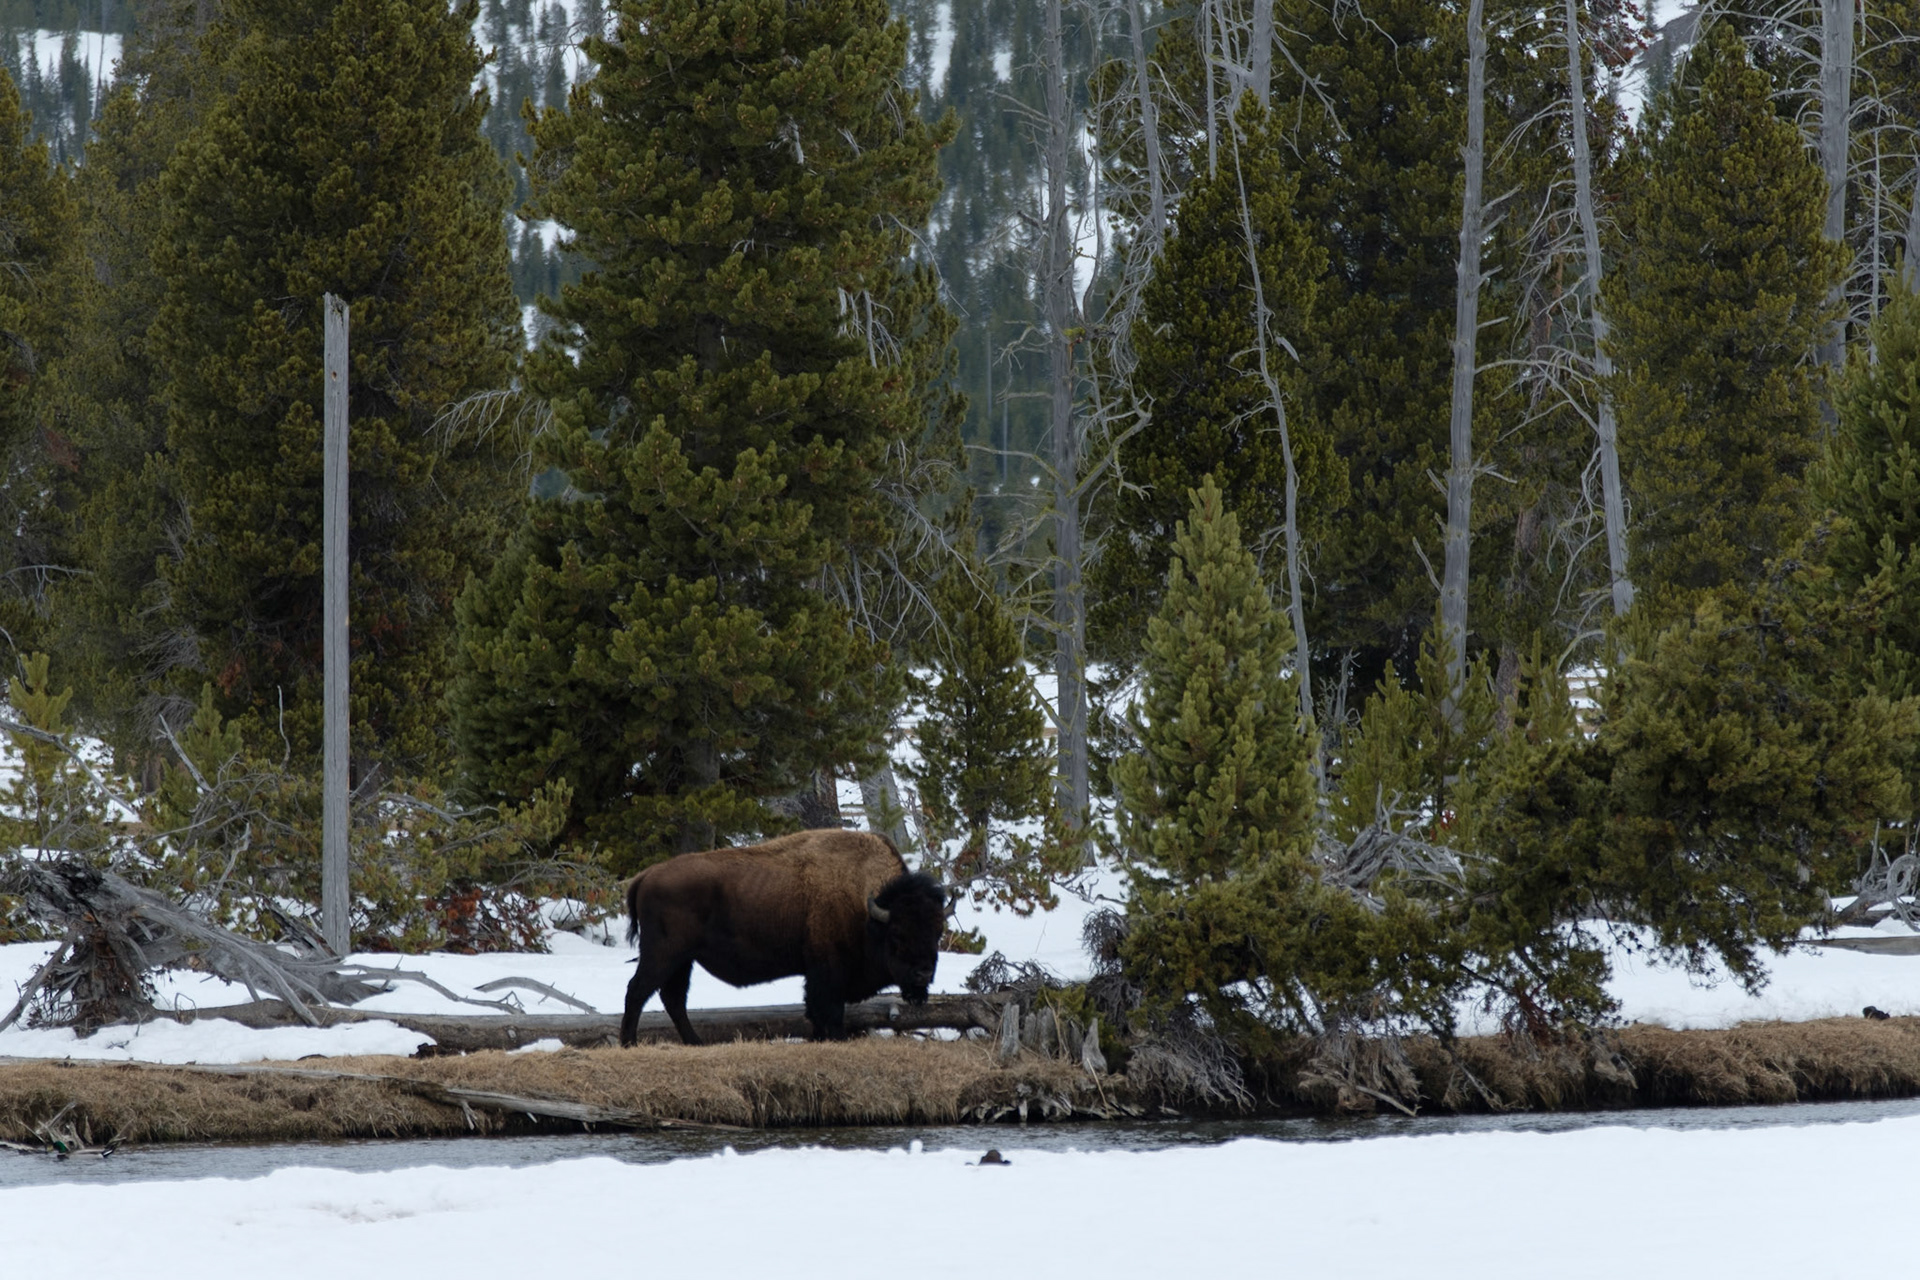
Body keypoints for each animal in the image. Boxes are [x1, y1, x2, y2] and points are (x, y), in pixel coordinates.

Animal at [618, 829, 946, 1046]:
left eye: (938, 931)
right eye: (898, 934)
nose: (923, 973)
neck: (863, 903)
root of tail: (646, 875)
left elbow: (814, 1010)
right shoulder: (827, 972)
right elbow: (828, 1010)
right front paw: (836, 1039)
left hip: (682, 960)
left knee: (672, 998)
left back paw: (696, 1042)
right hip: (663, 954)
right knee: (638, 991)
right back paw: (629, 1043)